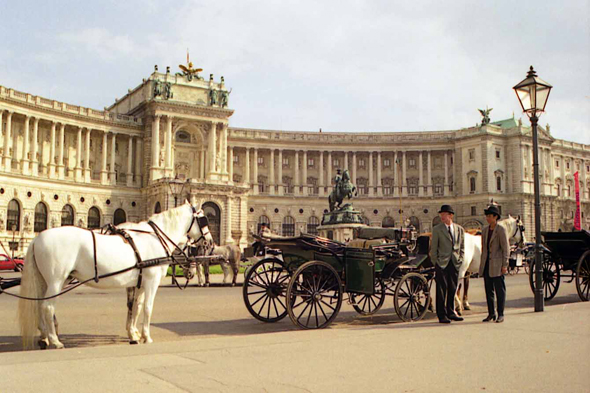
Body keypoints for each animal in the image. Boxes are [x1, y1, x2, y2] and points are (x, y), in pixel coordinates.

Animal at [17, 202, 213, 350]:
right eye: (204, 219)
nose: (210, 242)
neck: (155, 237)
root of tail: (36, 238)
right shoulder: (151, 281)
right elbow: (147, 308)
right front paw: (146, 336)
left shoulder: (138, 283)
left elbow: (135, 307)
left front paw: (134, 334)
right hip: (56, 281)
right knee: (48, 307)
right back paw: (55, 340)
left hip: (48, 281)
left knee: (40, 305)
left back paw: (44, 336)